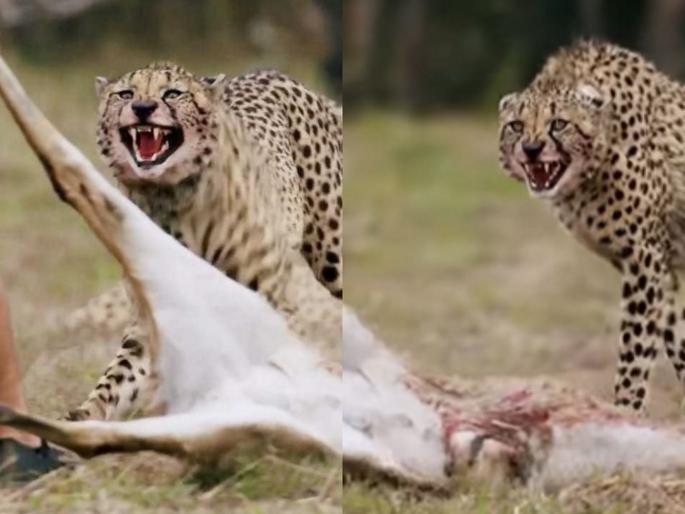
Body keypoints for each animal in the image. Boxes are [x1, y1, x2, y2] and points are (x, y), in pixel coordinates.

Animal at [66, 61, 342, 421]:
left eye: (173, 93)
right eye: (125, 94)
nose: (142, 108)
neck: (169, 198)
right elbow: (117, 377)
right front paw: (84, 416)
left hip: (331, 257)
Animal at [498, 39, 685, 414]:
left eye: (559, 124)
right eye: (516, 126)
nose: (531, 148)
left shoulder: (645, 261)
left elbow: (634, 352)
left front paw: (626, 413)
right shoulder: (663, 269)